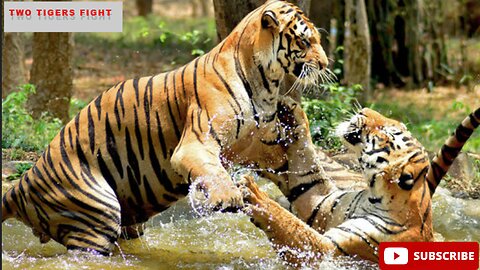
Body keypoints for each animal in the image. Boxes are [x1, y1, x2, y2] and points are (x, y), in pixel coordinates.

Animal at [2, 0, 342, 255]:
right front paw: (229, 196)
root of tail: (22, 183)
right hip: (95, 217)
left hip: (126, 218)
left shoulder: (276, 156)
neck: (267, 86)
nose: (326, 65)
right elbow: (213, 171)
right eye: (305, 41)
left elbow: (308, 184)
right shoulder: (195, 143)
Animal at [240, 105, 480, 266]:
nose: (364, 110)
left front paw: (256, 196)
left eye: (386, 131)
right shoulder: (322, 204)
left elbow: (293, 226)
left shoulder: (328, 251)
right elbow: (307, 167)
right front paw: (293, 113)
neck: (373, 196)